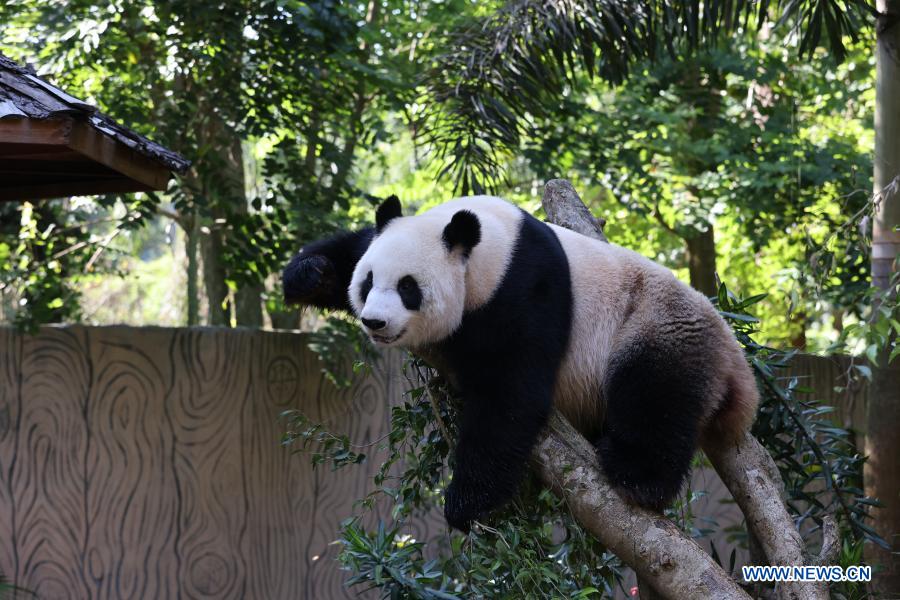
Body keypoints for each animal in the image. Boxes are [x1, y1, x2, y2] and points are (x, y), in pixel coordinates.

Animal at [284, 195, 760, 532]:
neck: (490, 245)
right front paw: (310, 273)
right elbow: (352, 246)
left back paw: (636, 476)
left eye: (408, 288)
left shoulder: (527, 290)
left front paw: (466, 503)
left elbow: (511, 393)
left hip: (657, 323)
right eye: (367, 282)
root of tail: (735, 361)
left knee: (656, 392)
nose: (375, 322)